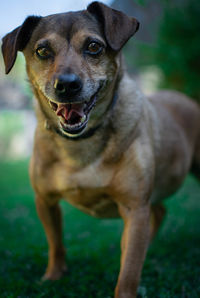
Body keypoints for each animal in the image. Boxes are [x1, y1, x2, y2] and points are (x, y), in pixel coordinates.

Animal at [1, 1, 200, 296]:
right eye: (42, 50)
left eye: (94, 46)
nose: (67, 84)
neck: (80, 143)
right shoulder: (45, 201)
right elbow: (55, 243)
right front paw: (53, 276)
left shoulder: (134, 208)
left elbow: (129, 271)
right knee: (159, 212)